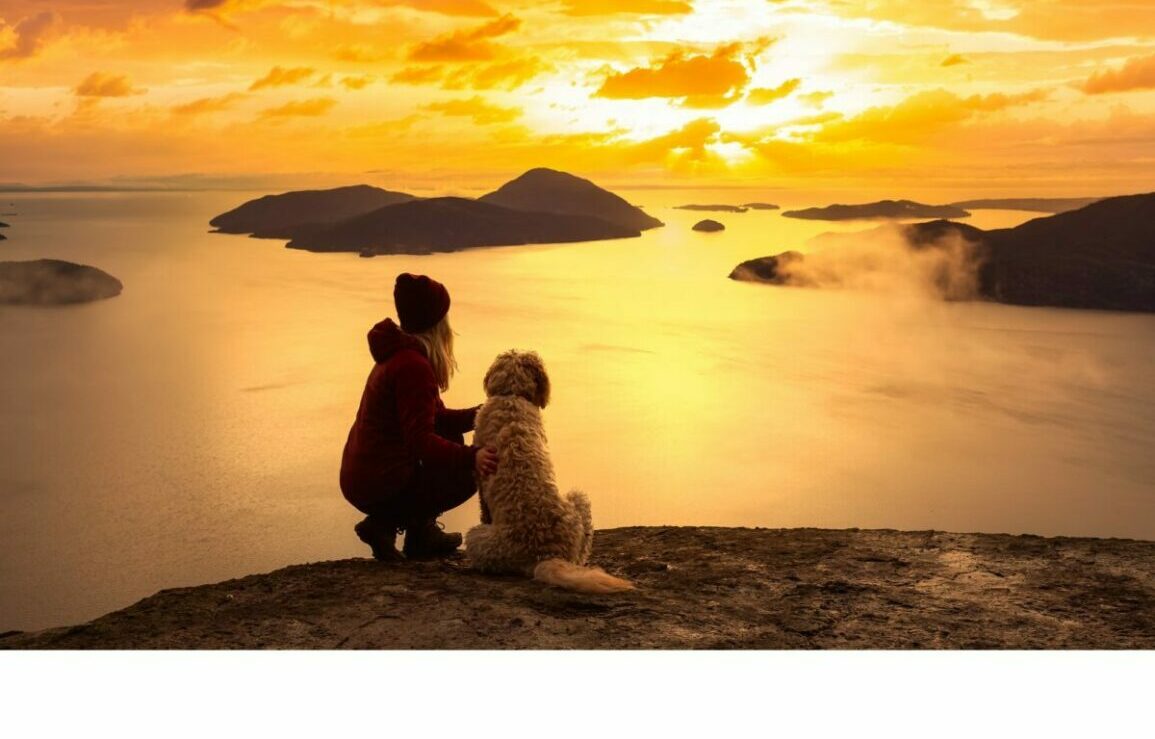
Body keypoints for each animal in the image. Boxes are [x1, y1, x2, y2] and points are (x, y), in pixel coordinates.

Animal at [464, 351, 637, 595]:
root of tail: (546, 554)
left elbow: (484, 509)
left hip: (476, 537)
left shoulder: (481, 477)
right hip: (579, 503)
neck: (512, 395)